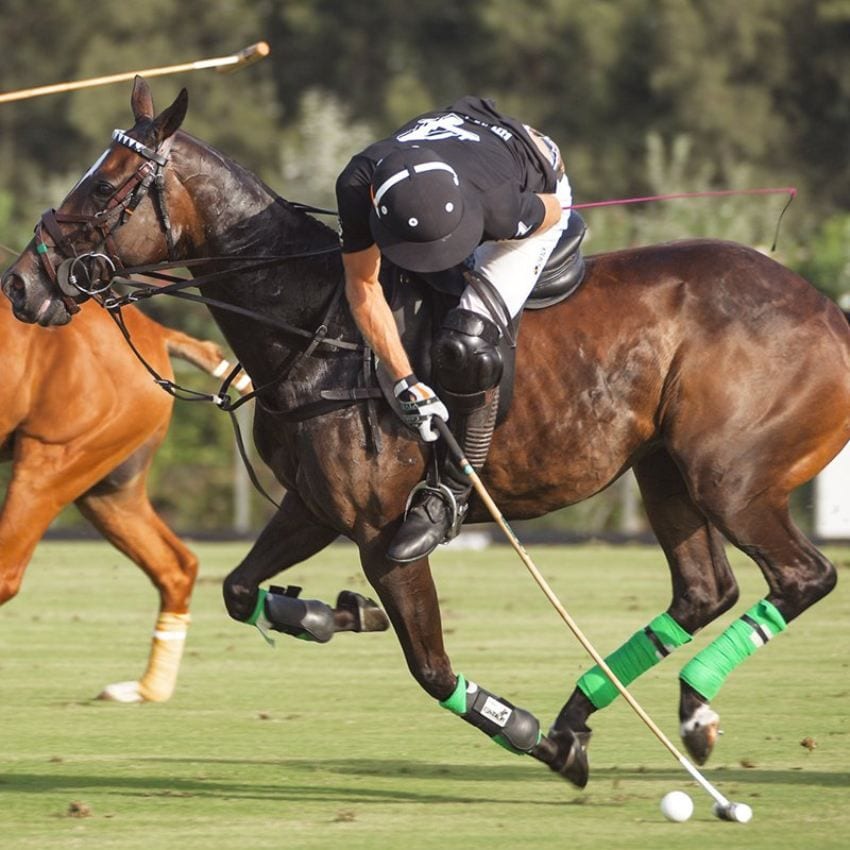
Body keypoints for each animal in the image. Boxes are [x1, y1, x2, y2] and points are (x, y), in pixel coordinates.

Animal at [0, 286, 243, 704]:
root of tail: (155, 332)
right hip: (109, 489)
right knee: (176, 565)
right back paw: (148, 690)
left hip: (51, 461)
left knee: (7, 571)